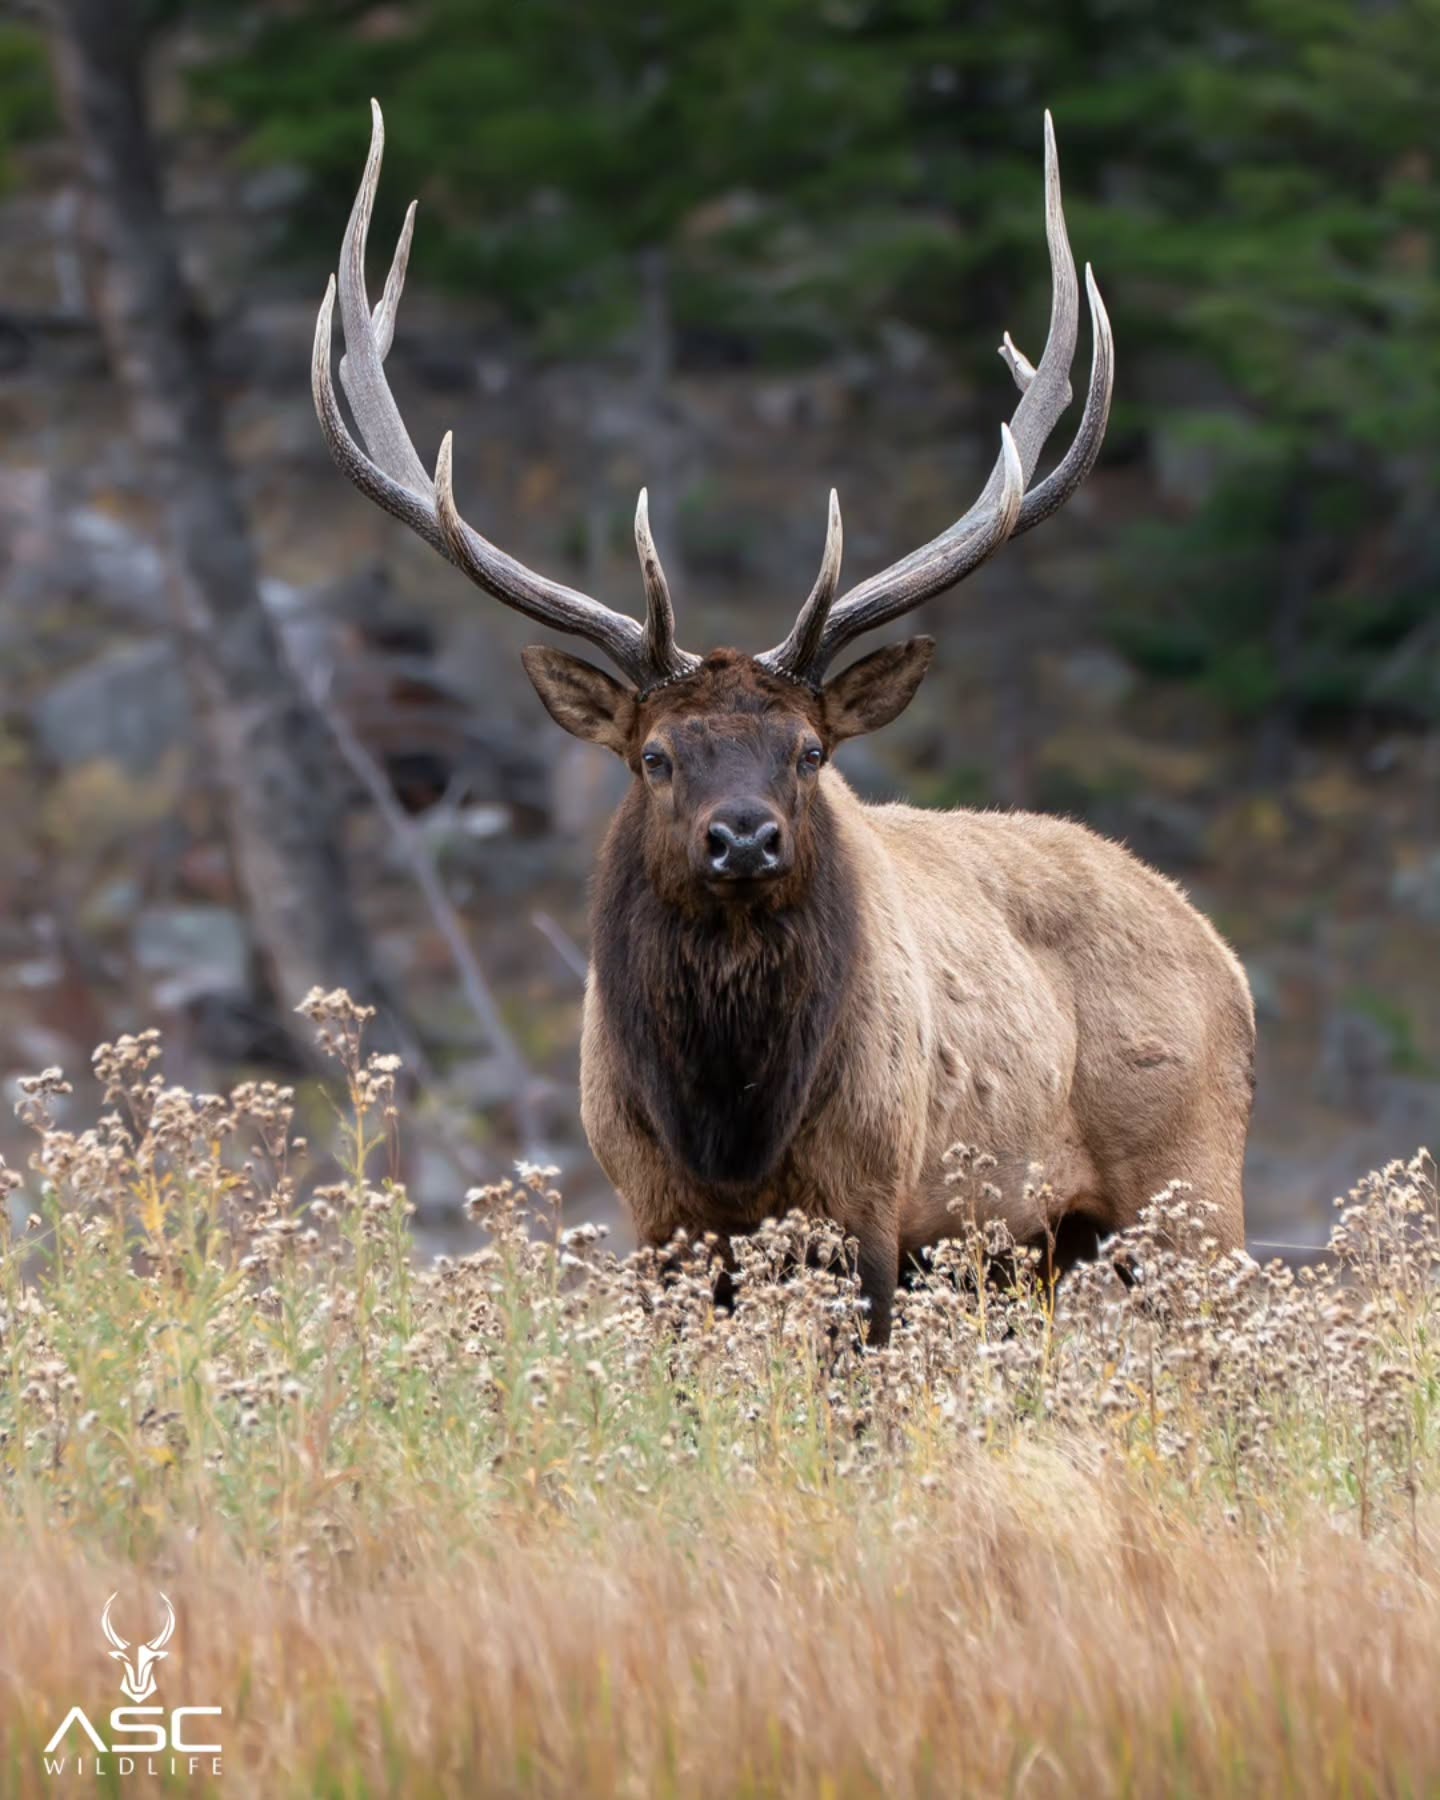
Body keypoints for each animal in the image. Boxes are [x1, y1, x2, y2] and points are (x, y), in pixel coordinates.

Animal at [314, 103, 1255, 1344]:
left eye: (809, 753)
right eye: (654, 757)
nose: (745, 836)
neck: (728, 1123)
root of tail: (1226, 958)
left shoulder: (872, 1204)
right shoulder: (652, 1214)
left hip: (1189, 1187)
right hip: (1035, 1252)